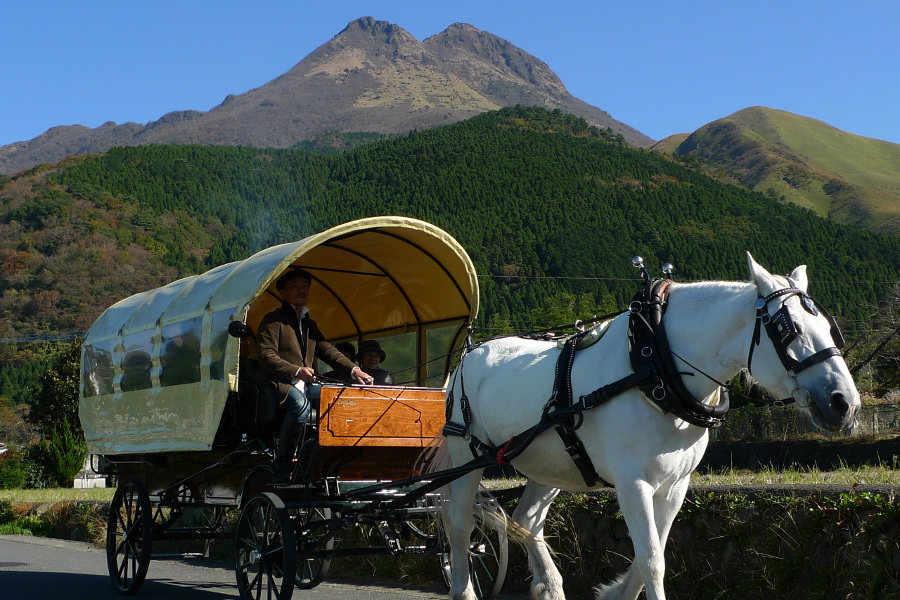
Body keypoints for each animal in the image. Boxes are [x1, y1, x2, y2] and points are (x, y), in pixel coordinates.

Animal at [433, 253, 860, 600]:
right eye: (787, 329)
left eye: (829, 327)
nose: (844, 403)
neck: (655, 367)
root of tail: (472, 352)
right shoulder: (632, 482)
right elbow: (653, 560)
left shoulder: (675, 484)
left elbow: (649, 554)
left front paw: (615, 592)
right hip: (466, 454)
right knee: (460, 524)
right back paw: (463, 588)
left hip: (550, 463)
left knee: (526, 521)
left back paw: (550, 586)